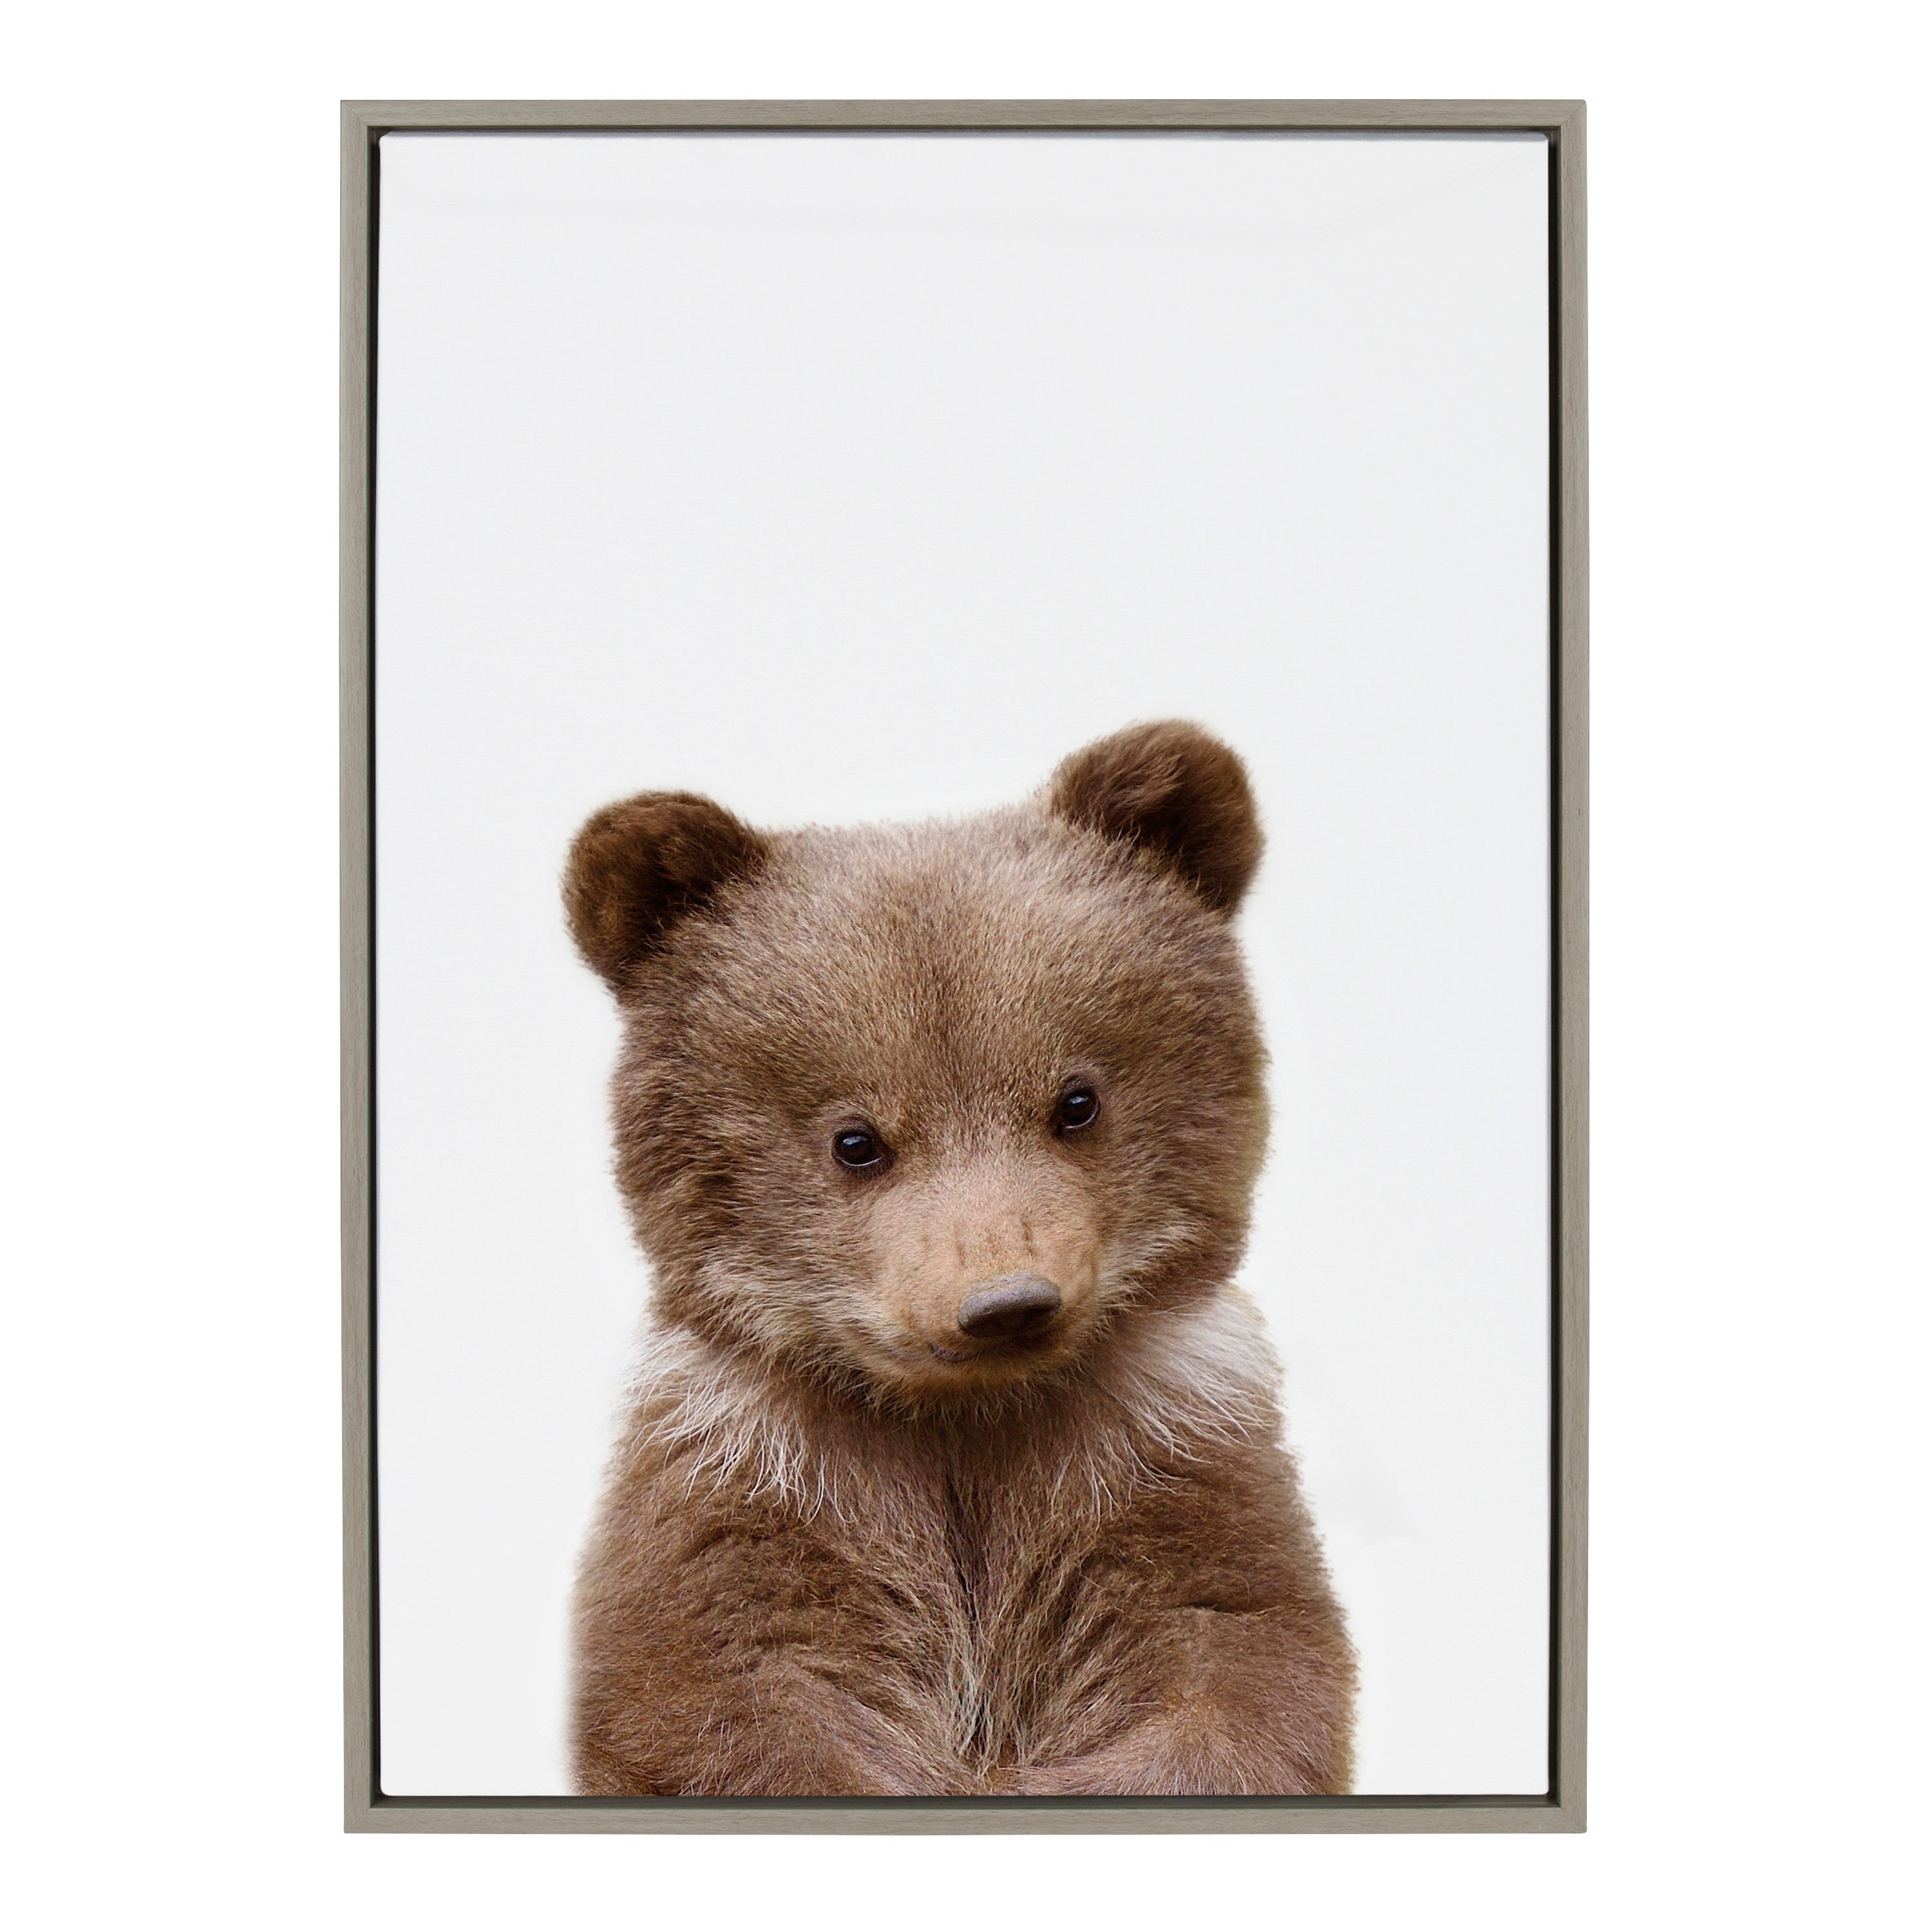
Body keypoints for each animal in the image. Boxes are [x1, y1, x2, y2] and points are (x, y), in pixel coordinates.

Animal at [563, 720, 1356, 1797]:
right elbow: (722, 1696)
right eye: (856, 1140)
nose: (1006, 1303)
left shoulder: (1167, 1460)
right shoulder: (756, 1482)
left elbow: (1234, 1669)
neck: (963, 1421)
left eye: (1078, 1100)